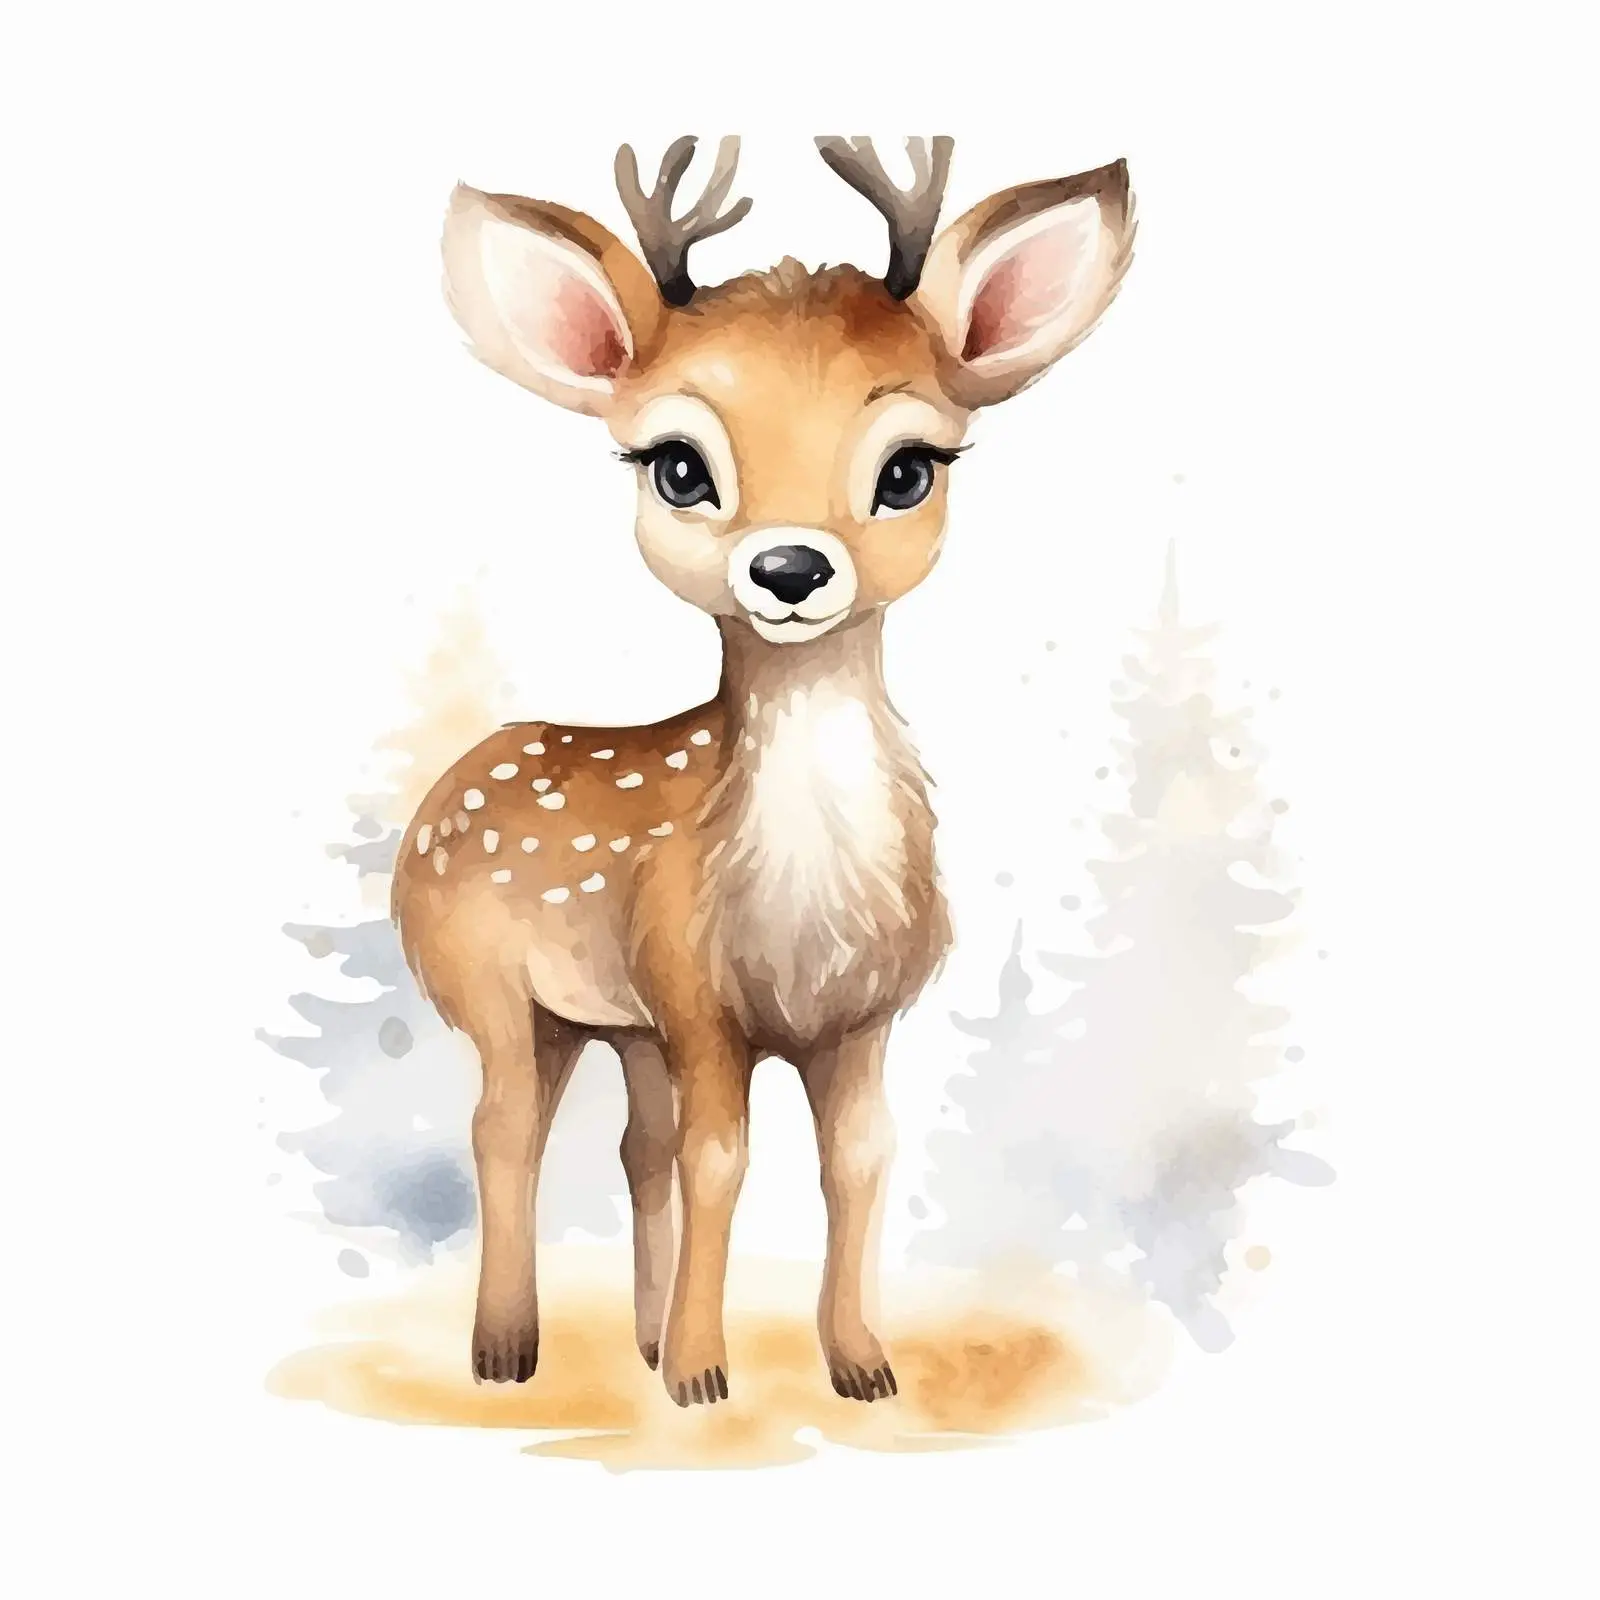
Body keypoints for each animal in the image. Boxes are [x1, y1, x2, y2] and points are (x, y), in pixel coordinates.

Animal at [392, 136, 1135, 1407]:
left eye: (910, 466)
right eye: (678, 465)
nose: (790, 567)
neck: (805, 917)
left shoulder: (863, 1015)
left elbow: (856, 1162)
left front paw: (861, 1366)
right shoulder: (697, 1001)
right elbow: (721, 1159)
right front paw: (703, 1377)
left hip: (610, 1021)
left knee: (627, 1145)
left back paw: (633, 1338)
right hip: (486, 984)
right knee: (504, 1130)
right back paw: (506, 1351)